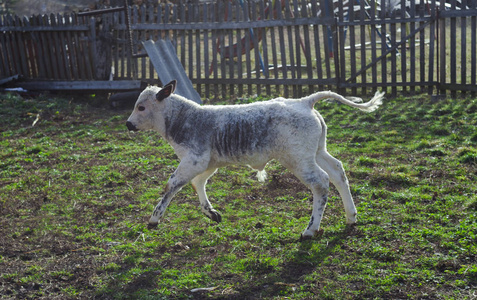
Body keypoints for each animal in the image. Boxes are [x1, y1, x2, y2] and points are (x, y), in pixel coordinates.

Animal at [125, 80, 384, 239]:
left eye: (141, 107)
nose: (128, 124)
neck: (186, 118)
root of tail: (304, 101)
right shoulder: (206, 163)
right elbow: (197, 184)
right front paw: (212, 213)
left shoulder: (194, 160)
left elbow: (171, 185)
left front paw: (154, 218)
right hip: (318, 151)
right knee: (338, 171)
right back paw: (351, 217)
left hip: (299, 159)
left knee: (321, 183)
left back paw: (310, 230)